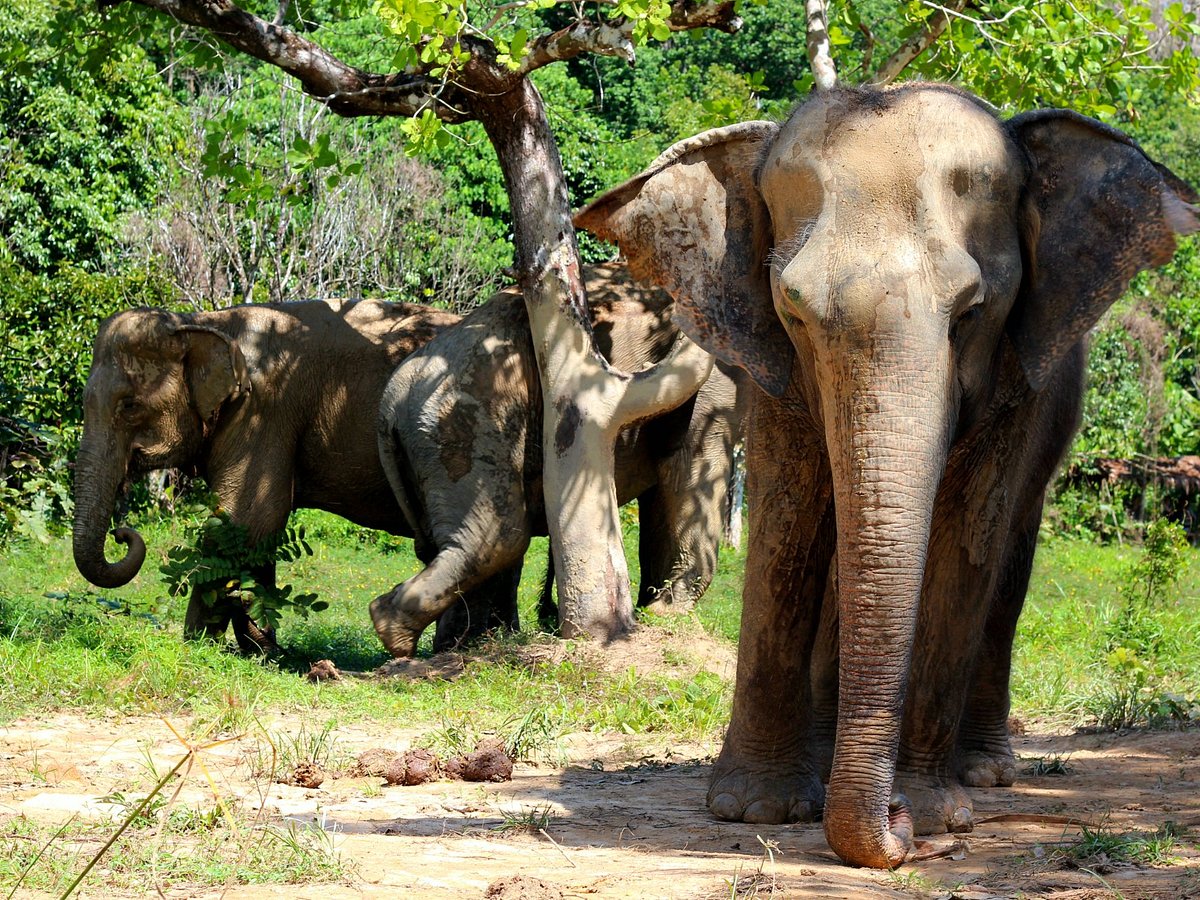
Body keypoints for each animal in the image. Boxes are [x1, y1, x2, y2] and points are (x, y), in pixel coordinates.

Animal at [72, 300, 458, 652]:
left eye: (129, 405)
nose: (121, 534)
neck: (205, 321)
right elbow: (254, 531)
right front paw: (259, 648)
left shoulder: (263, 410)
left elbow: (247, 521)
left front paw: (199, 645)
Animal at [369, 264, 744, 657]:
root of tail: (391, 404)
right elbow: (689, 471)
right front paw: (666, 614)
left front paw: (657, 611)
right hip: (464, 421)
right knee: (500, 535)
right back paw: (399, 633)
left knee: (440, 544)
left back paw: (444, 642)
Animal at [576, 84, 1195, 873]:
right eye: (793, 309)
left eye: (972, 312)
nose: (900, 832)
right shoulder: (772, 370)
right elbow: (788, 523)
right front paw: (756, 809)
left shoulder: (1016, 379)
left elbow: (967, 535)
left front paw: (933, 811)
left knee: (1010, 556)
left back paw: (982, 772)